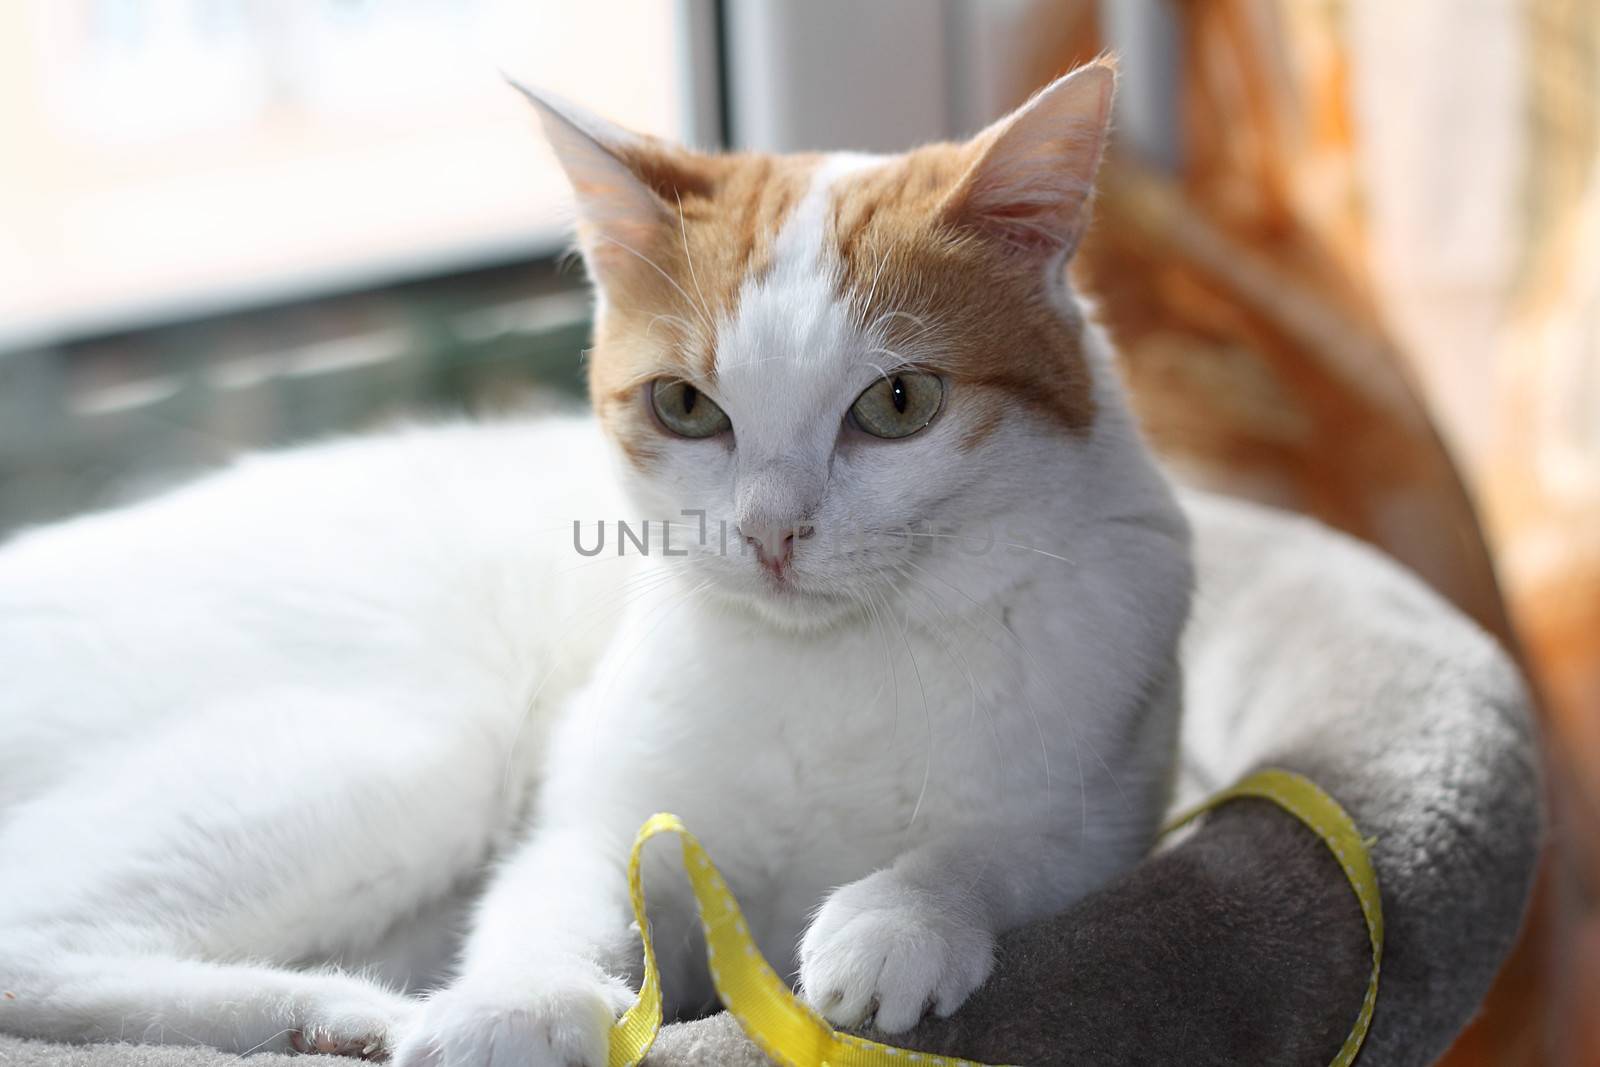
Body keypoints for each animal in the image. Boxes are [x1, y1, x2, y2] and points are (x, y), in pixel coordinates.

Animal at [0, 60, 1190, 1067]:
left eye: (899, 402)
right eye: (685, 406)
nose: (770, 530)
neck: (831, 665)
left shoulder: (1101, 811)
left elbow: (993, 849)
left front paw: (899, 916)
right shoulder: (596, 811)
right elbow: (550, 891)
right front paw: (519, 1003)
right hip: (423, 742)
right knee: (28, 943)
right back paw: (333, 1009)